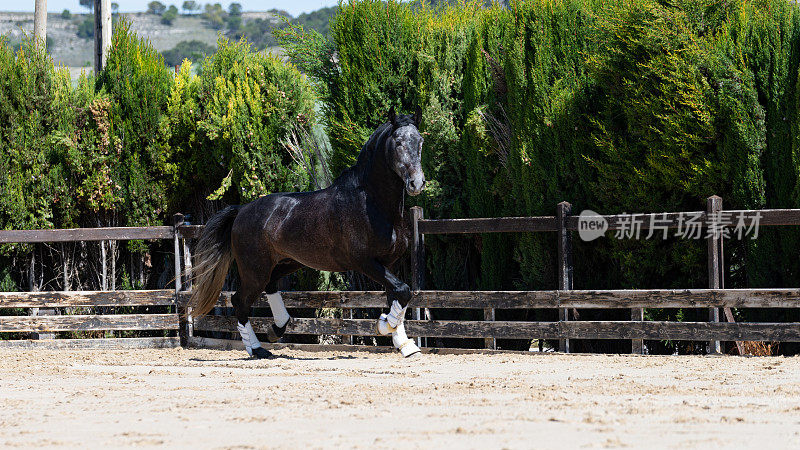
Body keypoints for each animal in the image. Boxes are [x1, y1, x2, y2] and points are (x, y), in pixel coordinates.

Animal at [189, 105, 424, 358]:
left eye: (420, 141)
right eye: (398, 142)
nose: (417, 183)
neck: (371, 202)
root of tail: (242, 210)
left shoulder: (388, 263)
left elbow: (397, 295)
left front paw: (404, 344)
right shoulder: (364, 262)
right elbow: (403, 291)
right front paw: (383, 325)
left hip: (287, 262)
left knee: (270, 286)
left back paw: (277, 329)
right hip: (254, 270)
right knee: (239, 301)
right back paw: (257, 349)